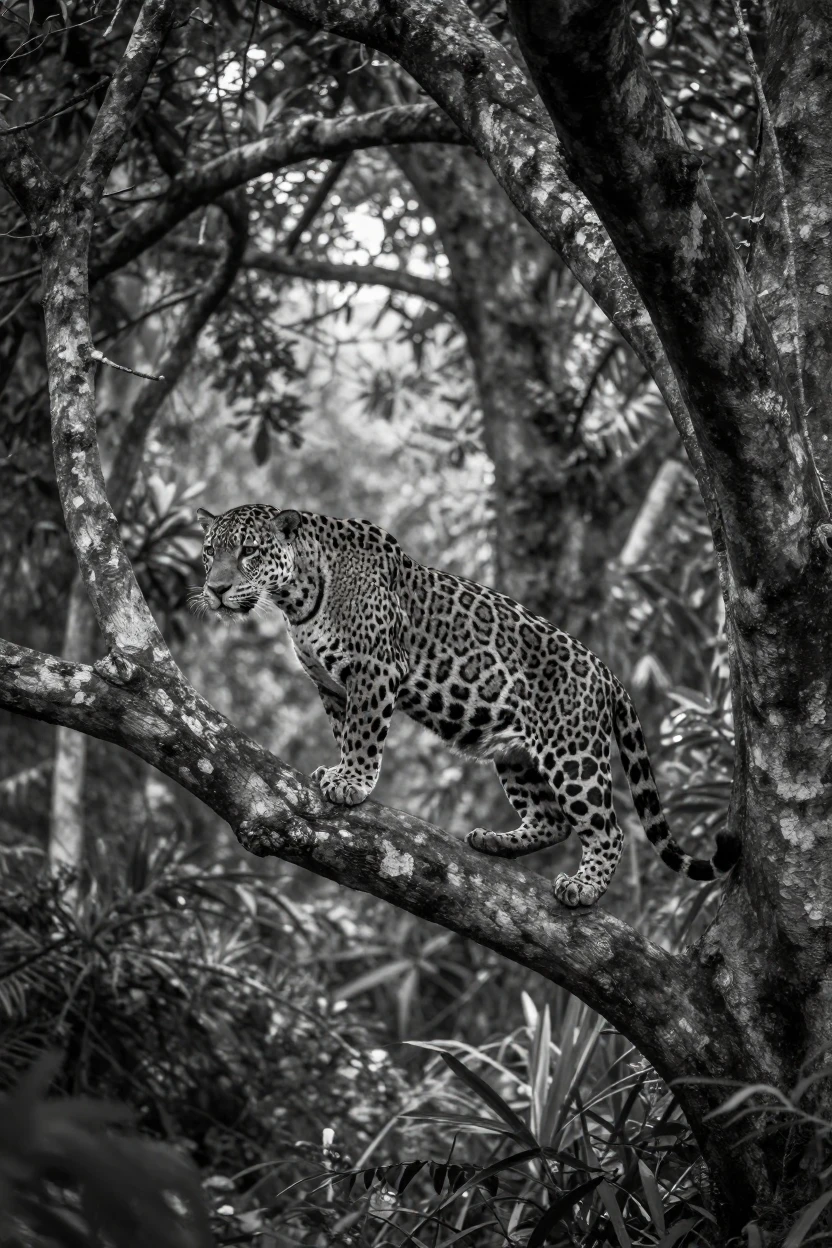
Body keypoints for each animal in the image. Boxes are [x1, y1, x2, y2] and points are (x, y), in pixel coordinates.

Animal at [194, 503, 739, 907]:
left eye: (248, 551)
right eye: (208, 554)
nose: (215, 589)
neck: (299, 596)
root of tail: (608, 675)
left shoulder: (375, 669)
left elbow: (364, 733)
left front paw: (352, 783)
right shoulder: (331, 685)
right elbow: (344, 730)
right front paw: (339, 772)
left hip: (573, 754)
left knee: (608, 829)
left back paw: (583, 887)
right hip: (516, 755)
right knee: (554, 819)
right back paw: (497, 842)